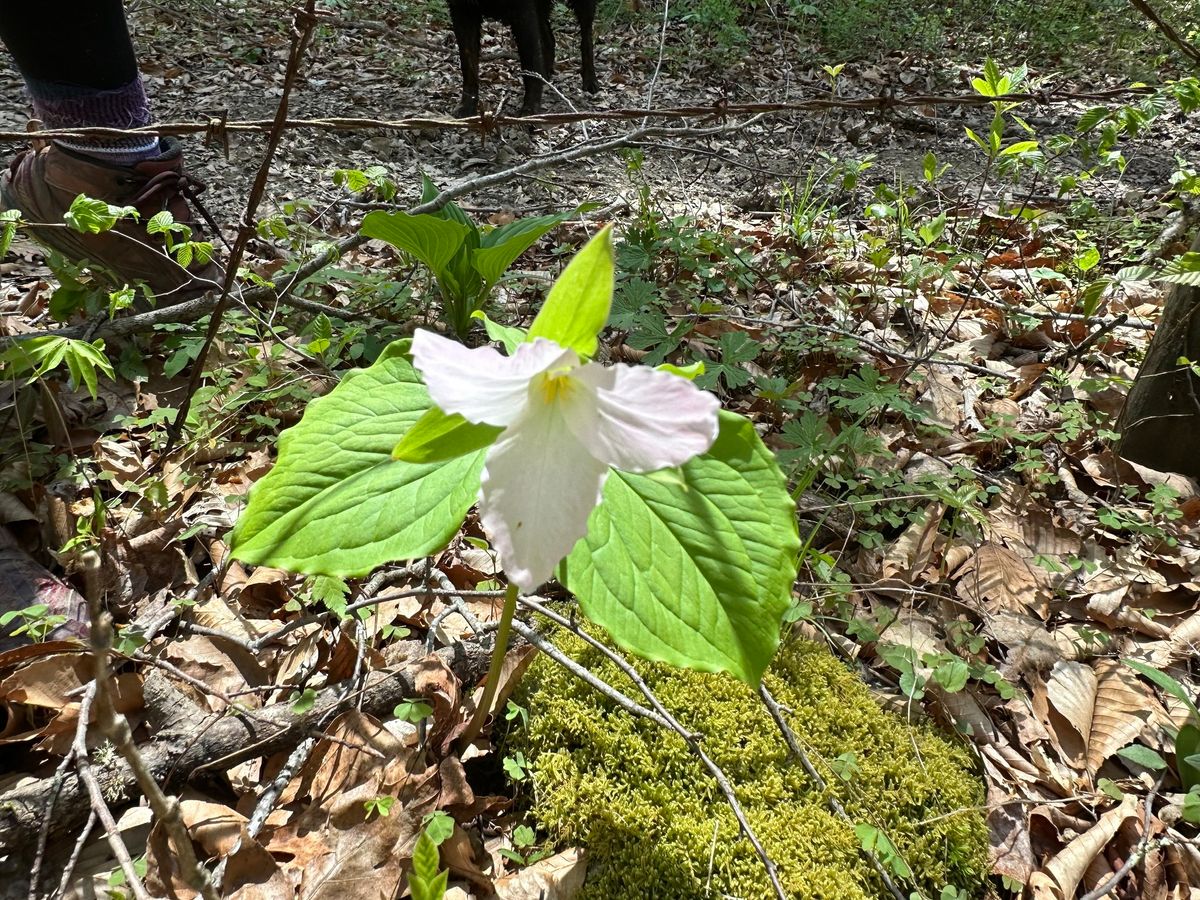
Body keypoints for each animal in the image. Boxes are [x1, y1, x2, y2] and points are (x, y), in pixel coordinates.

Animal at [448, 0, 597, 117]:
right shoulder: (462, 10)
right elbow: (468, 63)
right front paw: (467, 106)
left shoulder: (523, 12)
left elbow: (530, 62)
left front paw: (530, 110)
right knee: (548, 39)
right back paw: (545, 76)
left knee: (587, 37)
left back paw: (590, 80)